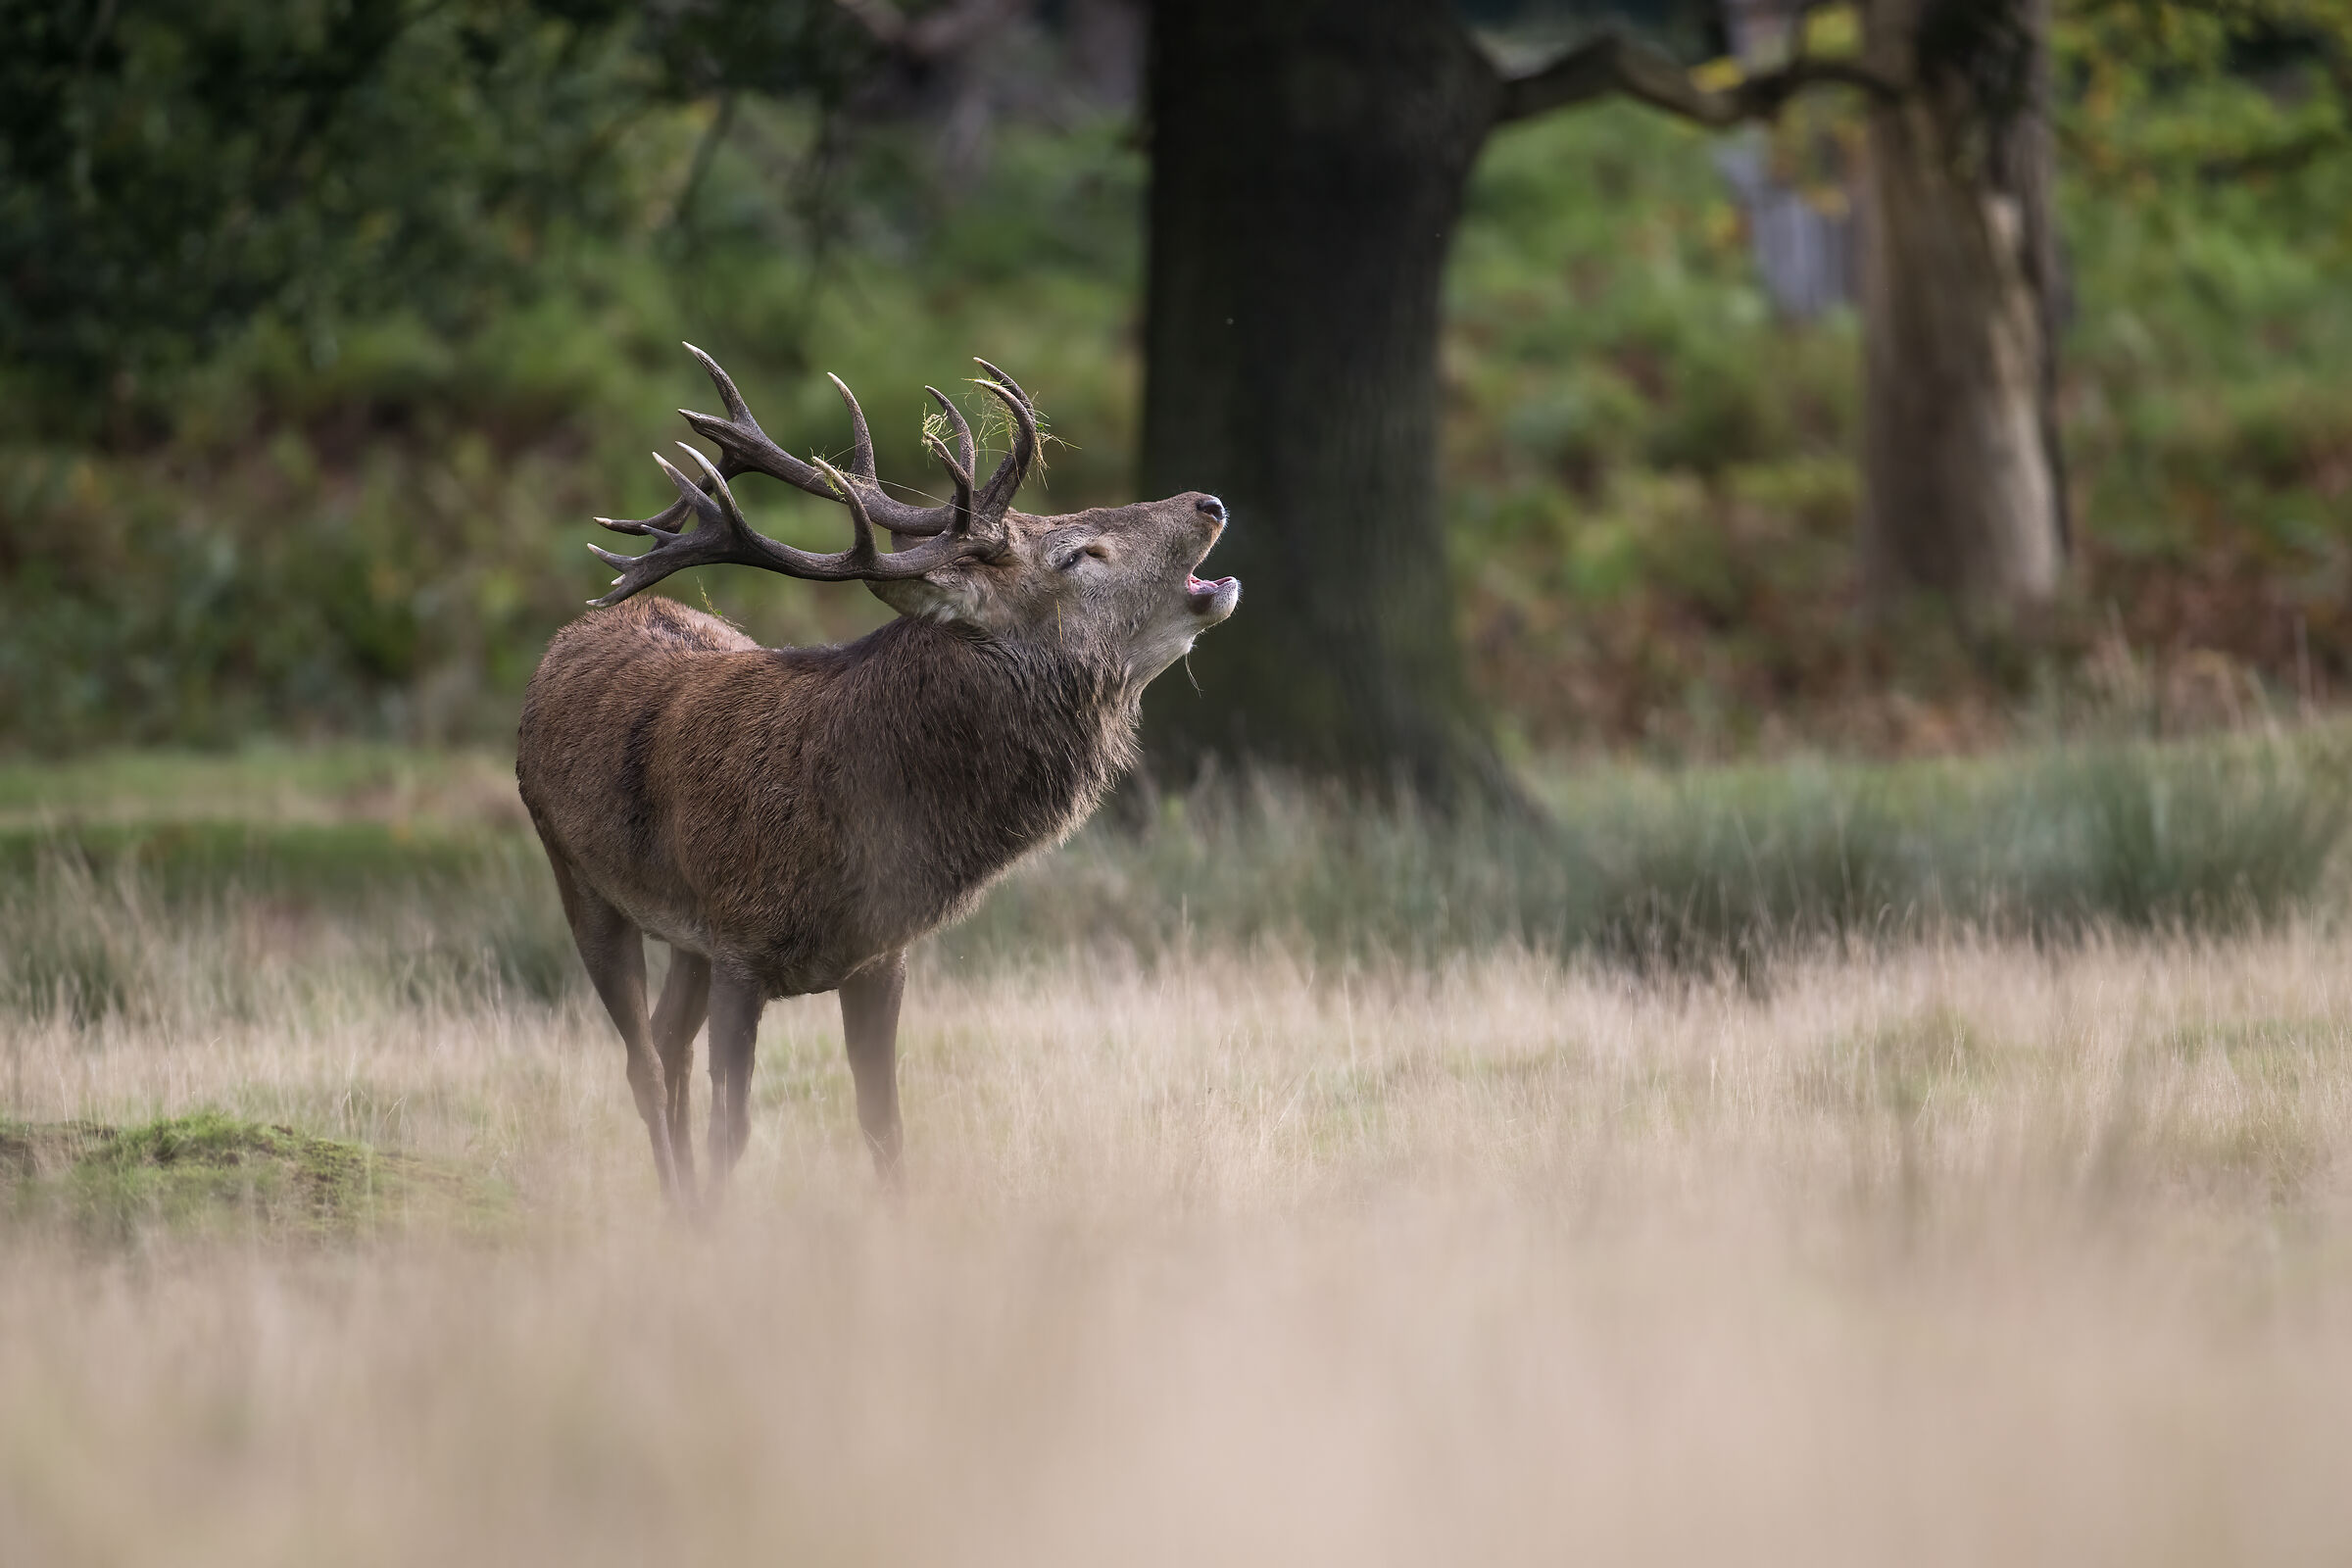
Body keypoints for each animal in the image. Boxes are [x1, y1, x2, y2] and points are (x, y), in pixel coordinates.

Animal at [516, 346, 1239, 1209]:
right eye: (1076, 553)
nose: (1209, 501)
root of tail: (563, 643)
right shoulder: (739, 945)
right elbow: (736, 1129)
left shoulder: (879, 957)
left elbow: (884, 1127)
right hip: (577, 874)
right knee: (643, 1062)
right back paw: (678, 1208)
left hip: (685, 932)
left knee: (665, 1041)